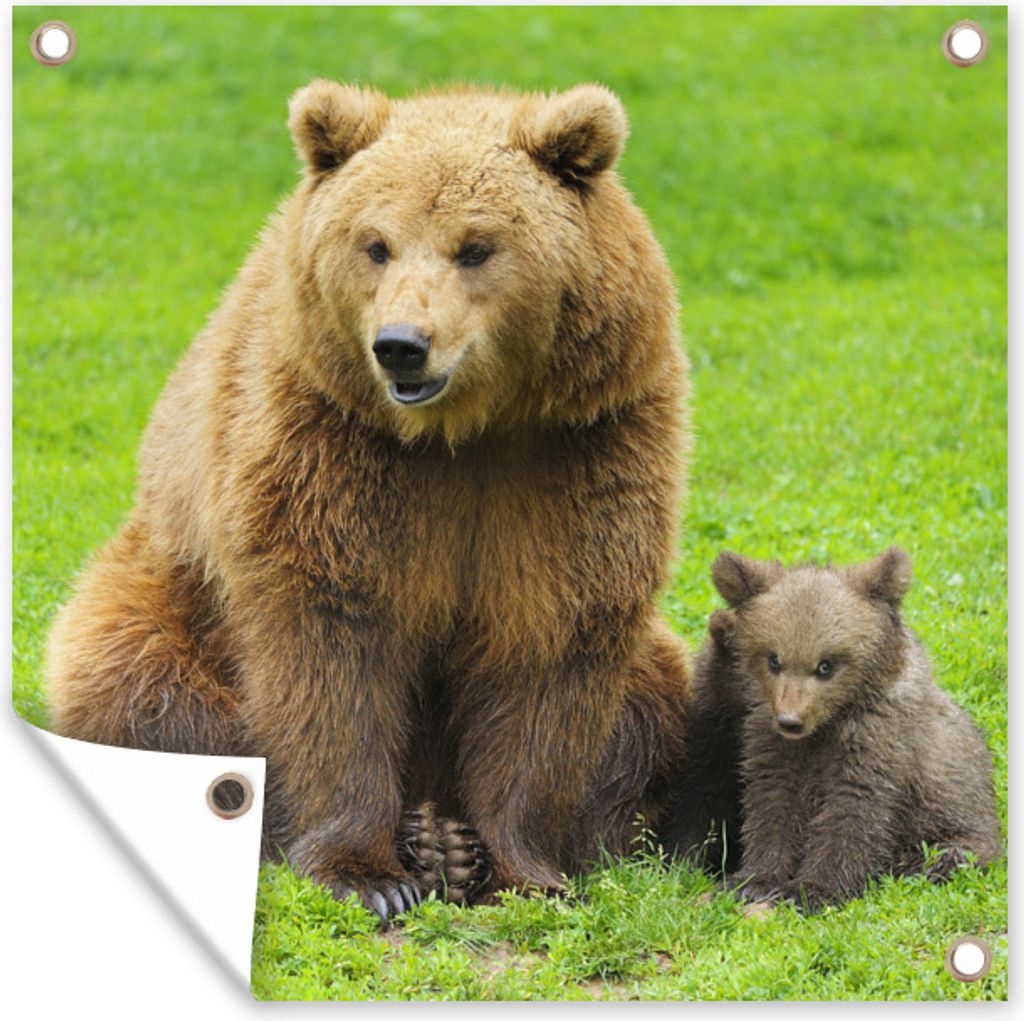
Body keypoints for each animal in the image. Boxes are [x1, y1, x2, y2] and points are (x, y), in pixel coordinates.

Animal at [43, 81, 693, 922]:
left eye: (475, 245)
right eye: (375, 243)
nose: (401, 344)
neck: (461, 433)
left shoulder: (577, 454)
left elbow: (549, 648)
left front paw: (525, 870)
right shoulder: (329, 442)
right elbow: (331, 643)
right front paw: (369, 873)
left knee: (652, 706)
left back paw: (450, 838)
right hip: (165, 593)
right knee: (136, 683)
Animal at [685, 547, 1001, 911]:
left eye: (826, 665)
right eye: (773, 659)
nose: (790, 720)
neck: (827, 725)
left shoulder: (876, 747)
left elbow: (852, 816)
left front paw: (810, 889)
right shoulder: (771, 746)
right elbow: (772, 806)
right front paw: (753, 881)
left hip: (958, 829)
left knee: (942, 855)